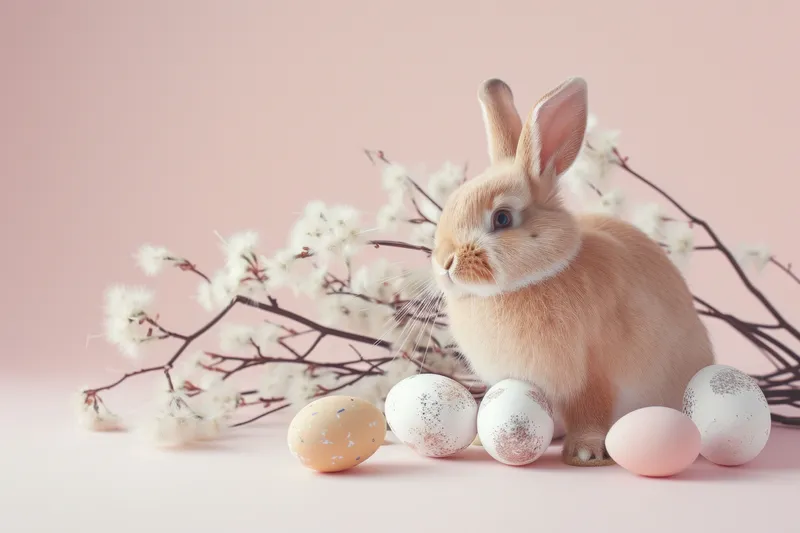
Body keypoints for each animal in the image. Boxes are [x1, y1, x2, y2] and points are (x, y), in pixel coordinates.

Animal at [430, 76, 714, 466]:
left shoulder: (592, 376)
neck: (534, 278)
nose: (444, 262)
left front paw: (584, 453)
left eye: (502, 218)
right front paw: (479, 441)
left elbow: (589, 411)